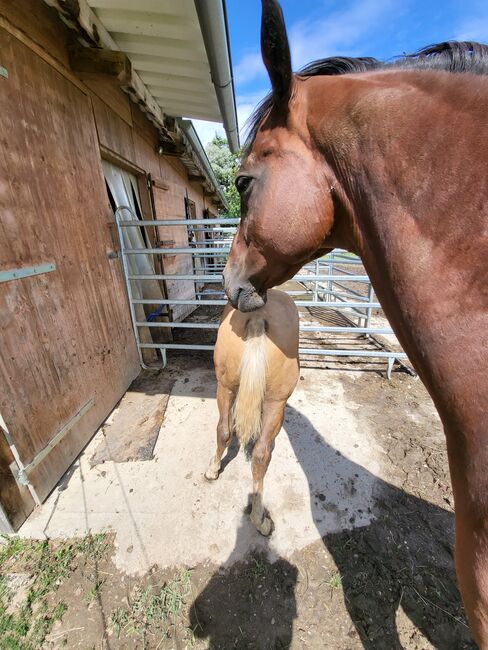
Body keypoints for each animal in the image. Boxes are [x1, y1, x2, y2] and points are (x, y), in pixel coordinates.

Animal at [205, 292, 300, 536]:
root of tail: (258, 318)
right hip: (277, 402)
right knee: (261, 453)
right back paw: (260, 520)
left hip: (224, 387)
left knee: (223, 431)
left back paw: (212, 471)